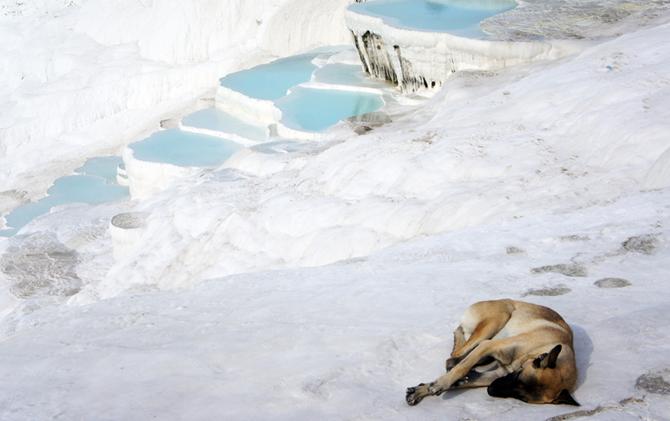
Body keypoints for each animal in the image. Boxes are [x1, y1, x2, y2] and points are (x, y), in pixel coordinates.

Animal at [406, 296, 580, 406]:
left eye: (522, 398)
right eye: (518, 374)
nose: (490, 390)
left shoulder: (497, 374)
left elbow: (465, 379)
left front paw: (421, 390)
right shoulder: (488, 346)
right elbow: (461, 369)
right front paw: (440, 384)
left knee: (456, 358)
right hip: (496, 322)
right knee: (456, 355)